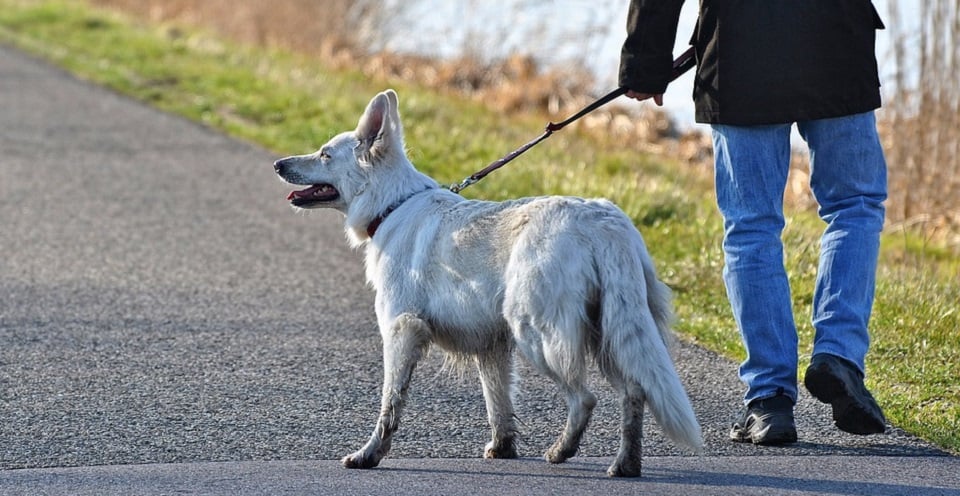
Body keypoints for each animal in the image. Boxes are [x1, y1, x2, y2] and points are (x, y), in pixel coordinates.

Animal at [274, 89, 700, 476]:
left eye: (325, 154)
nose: (278, 163)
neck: (392, 205)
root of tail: (603, 221)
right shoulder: (491, 346)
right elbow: (499, 404)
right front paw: (503, 449)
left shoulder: (401, 331)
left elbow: (390, 404)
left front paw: (369, 455)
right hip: (610, 333)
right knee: (634, 392)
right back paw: (625, 464)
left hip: (539, 335)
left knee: (585, 399)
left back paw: (562, 451)